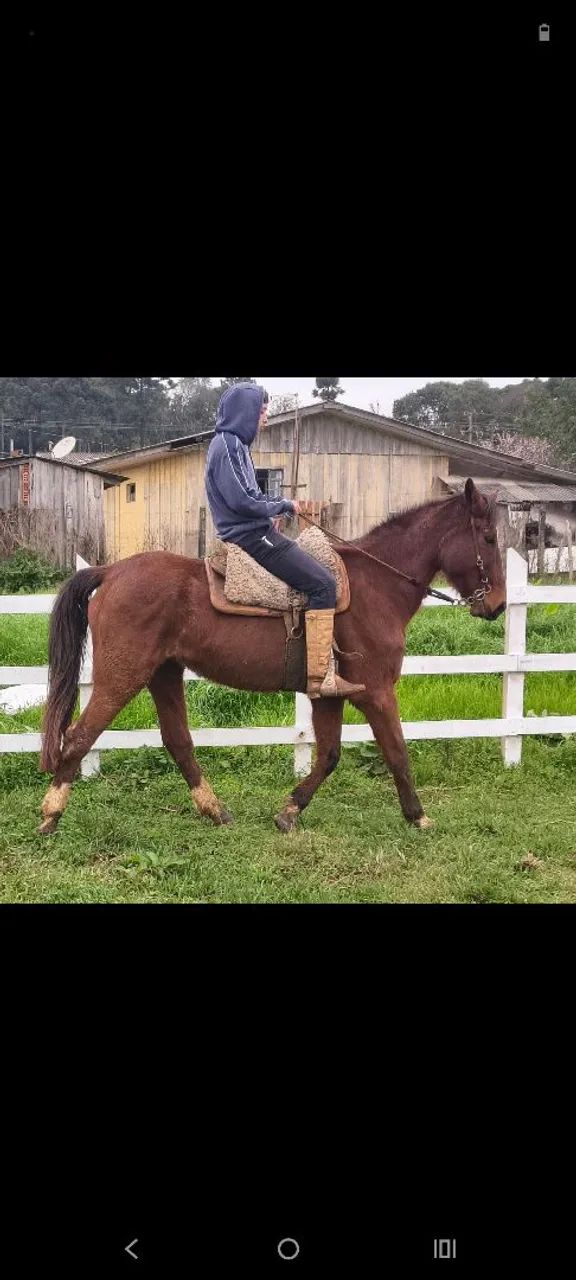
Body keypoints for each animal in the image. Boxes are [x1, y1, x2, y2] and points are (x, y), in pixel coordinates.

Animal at [38, 479, 505, 836]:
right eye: (488, 538)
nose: (498, 605)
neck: (376, 585)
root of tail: (110, 571)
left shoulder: (328, 695)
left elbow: (329, 755)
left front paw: (289, 812)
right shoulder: (376, 692)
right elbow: (397, 753)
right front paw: (418, 816)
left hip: (164, 674)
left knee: (178, 742)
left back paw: (215, 810)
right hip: (122, 676)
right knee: (78, 737)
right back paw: (50, 815)